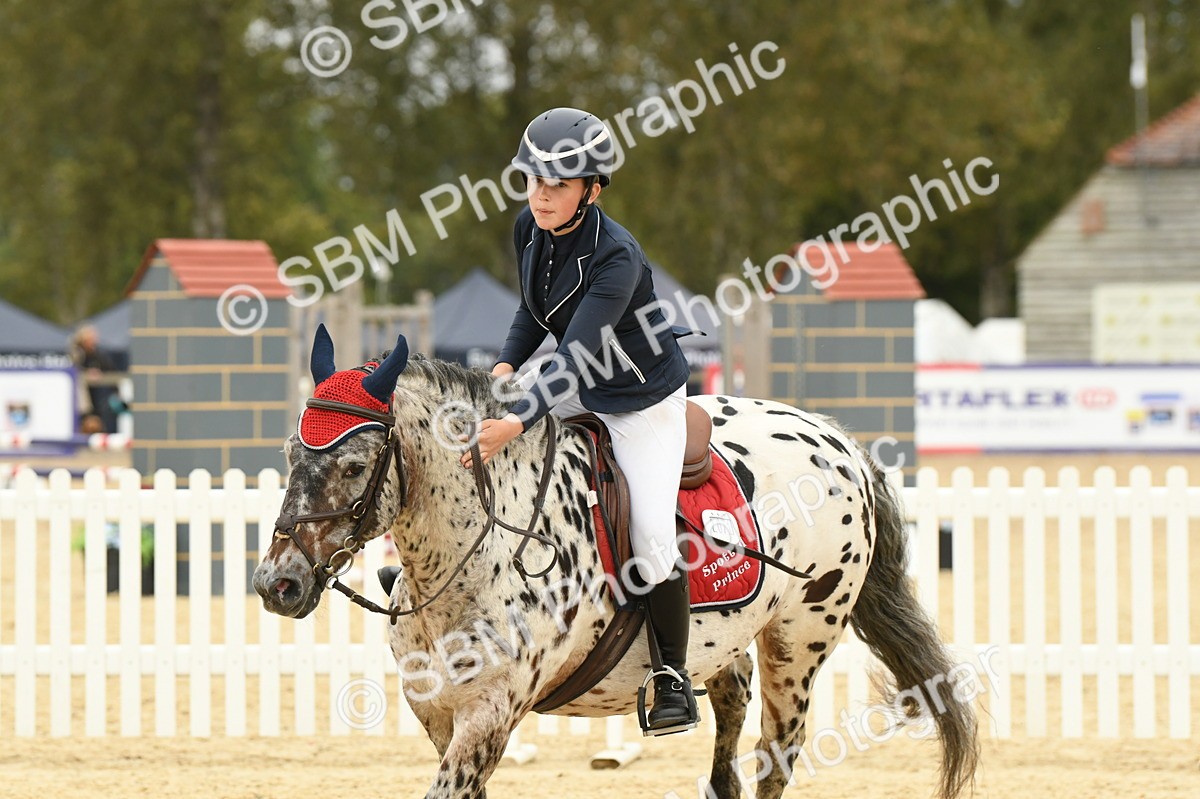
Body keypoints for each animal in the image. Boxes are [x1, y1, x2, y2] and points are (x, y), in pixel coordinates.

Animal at [252, 327, 978, 799]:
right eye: (289, 452)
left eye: (353, 466)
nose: (276, 583)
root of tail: (839, 439)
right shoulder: (439, 716)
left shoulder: (490, 714)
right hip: (728, 637)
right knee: (731, 710)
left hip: (799, 641)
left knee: (775, 757)